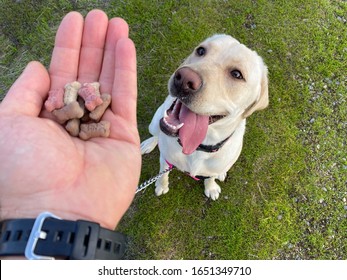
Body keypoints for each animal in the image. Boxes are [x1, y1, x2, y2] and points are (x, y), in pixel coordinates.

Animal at [141, 35, 270, 200]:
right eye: (201, 51)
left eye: (236, 74)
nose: (184, 80)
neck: (198, 146)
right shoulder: (166, 159)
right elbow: (163, 174)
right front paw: (161, 186)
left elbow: (210, 177)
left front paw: (211, 187)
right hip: (155, 122)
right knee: (156, 134)